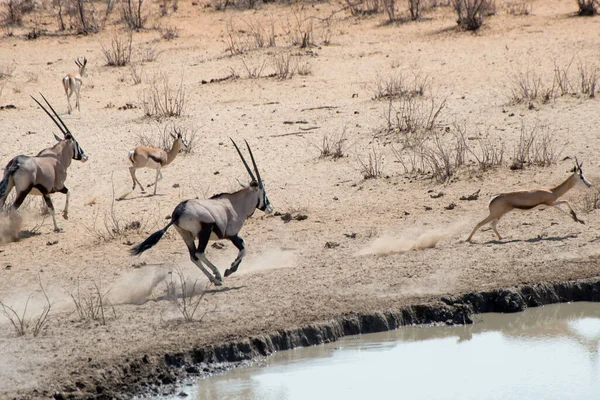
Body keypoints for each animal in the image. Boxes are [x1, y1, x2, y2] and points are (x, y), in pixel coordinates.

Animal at [0, 94, 88, 231]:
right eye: (76, 143)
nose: (85, 156)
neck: (57, 157)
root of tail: (15, 163)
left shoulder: (45, 192)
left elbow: (50, 207)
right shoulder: (57, 187)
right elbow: (62, 198)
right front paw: (62, 220)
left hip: (8, 188)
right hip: (22, 192)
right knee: (11, 210)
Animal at [131, 139, 274, 286]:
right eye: (264, 192)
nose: (270, 208)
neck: (236, 203)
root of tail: (178, 214)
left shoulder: (231, 235)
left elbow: (243, 247)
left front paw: (229, 269)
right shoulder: (231, 234)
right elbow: (243, 249)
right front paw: (230, 269)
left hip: (186, 236)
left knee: (193, 256)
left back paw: (214, 278)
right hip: (204, 232)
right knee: (199, 253)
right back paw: (217, 276)